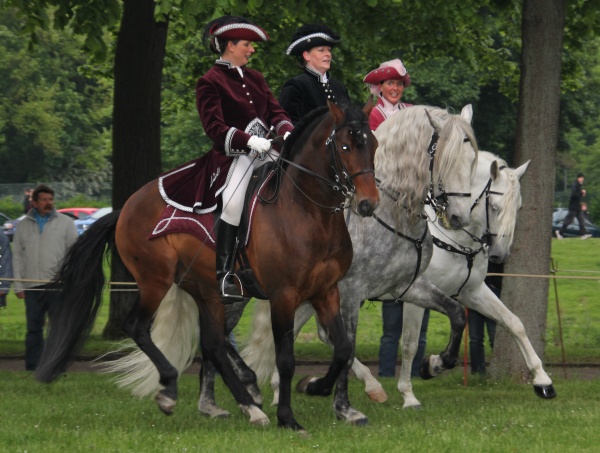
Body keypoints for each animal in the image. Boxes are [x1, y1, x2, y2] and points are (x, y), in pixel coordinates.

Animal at [34, 100, 380, 430]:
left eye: (373, 144)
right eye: (345, 147)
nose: (368, 204)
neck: (306, 211)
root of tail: (126, 207)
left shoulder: (327, 291)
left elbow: (343, 349)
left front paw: (315, 387)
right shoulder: (283, 296)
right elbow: (285, 359)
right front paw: (288, 418)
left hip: (207, 290)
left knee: (213, 345)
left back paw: (250, 406)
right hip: (155, 280)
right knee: (138, 326)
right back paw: (172, 388)